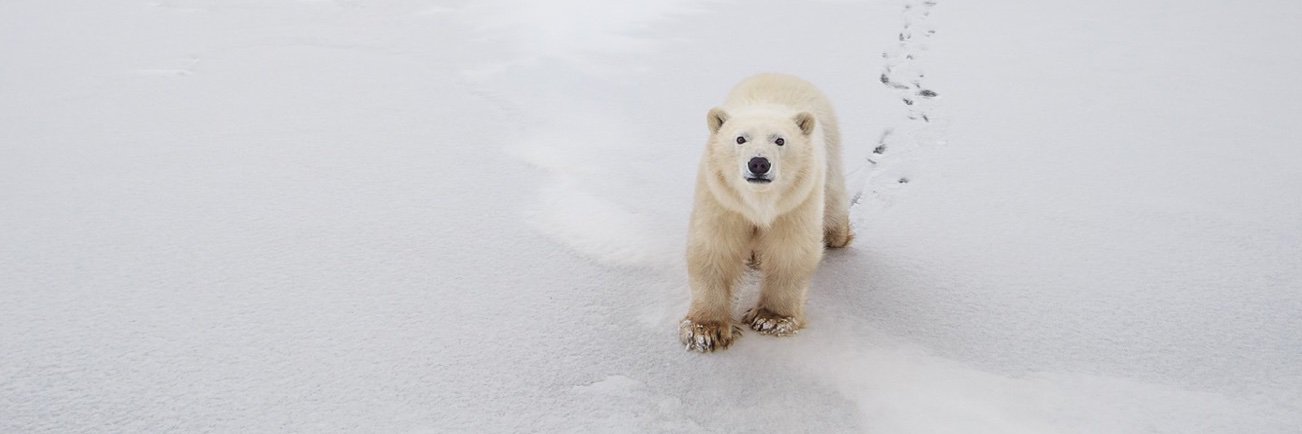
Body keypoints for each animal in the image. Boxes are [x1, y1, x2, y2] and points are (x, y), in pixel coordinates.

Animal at [679, 73, 853, 352]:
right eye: (740, 139)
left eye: (780, 140)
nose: (759, 163)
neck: (759, 202)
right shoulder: (723, 200)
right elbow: (714, 248)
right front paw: (704, 330)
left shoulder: (794, 204)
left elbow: (789, 250)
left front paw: (770, 319)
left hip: (829, 148)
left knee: (834, 198)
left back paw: (838, 235)